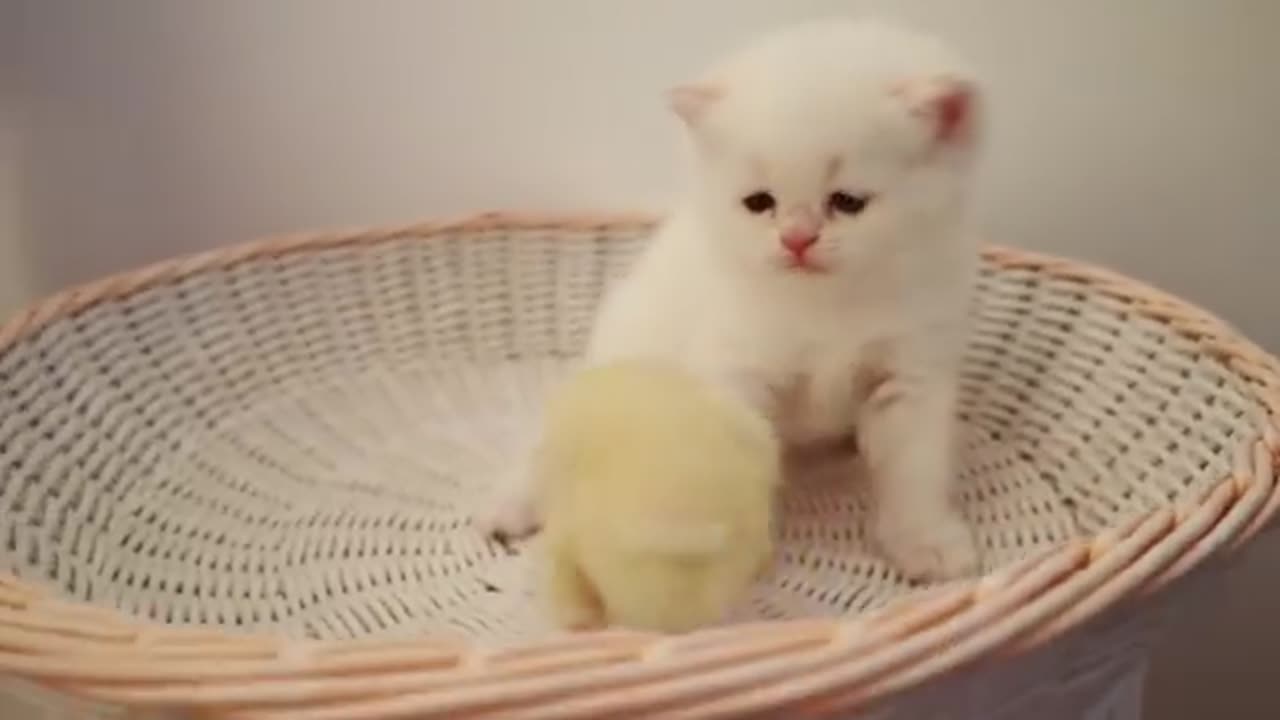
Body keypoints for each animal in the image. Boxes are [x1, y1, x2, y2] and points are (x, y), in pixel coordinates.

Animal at [486, 19, 977, 579]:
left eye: (848, 201)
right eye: (759, 202)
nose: (796, 240)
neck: (829, 301)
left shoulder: (913, 371)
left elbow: (914, 467)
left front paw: (926, 541)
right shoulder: (737, 372)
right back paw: (514, 505)